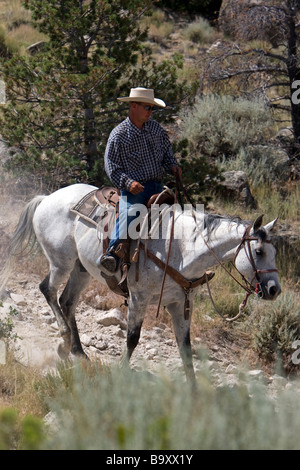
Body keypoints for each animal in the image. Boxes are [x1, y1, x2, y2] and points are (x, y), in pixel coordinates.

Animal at [0, 183, 282, 382]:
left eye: (274, 252)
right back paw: (63, 341)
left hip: (81, 270)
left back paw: (78, 352)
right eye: (258, 252)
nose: (274, 290)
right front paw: (123, 372)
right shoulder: (139, 297)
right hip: (61, 262)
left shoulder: (181, 303)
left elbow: (186, 348)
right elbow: (133, 338)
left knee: (67, 302)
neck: (180, 248)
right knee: (47, 290)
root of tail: (47, 198)